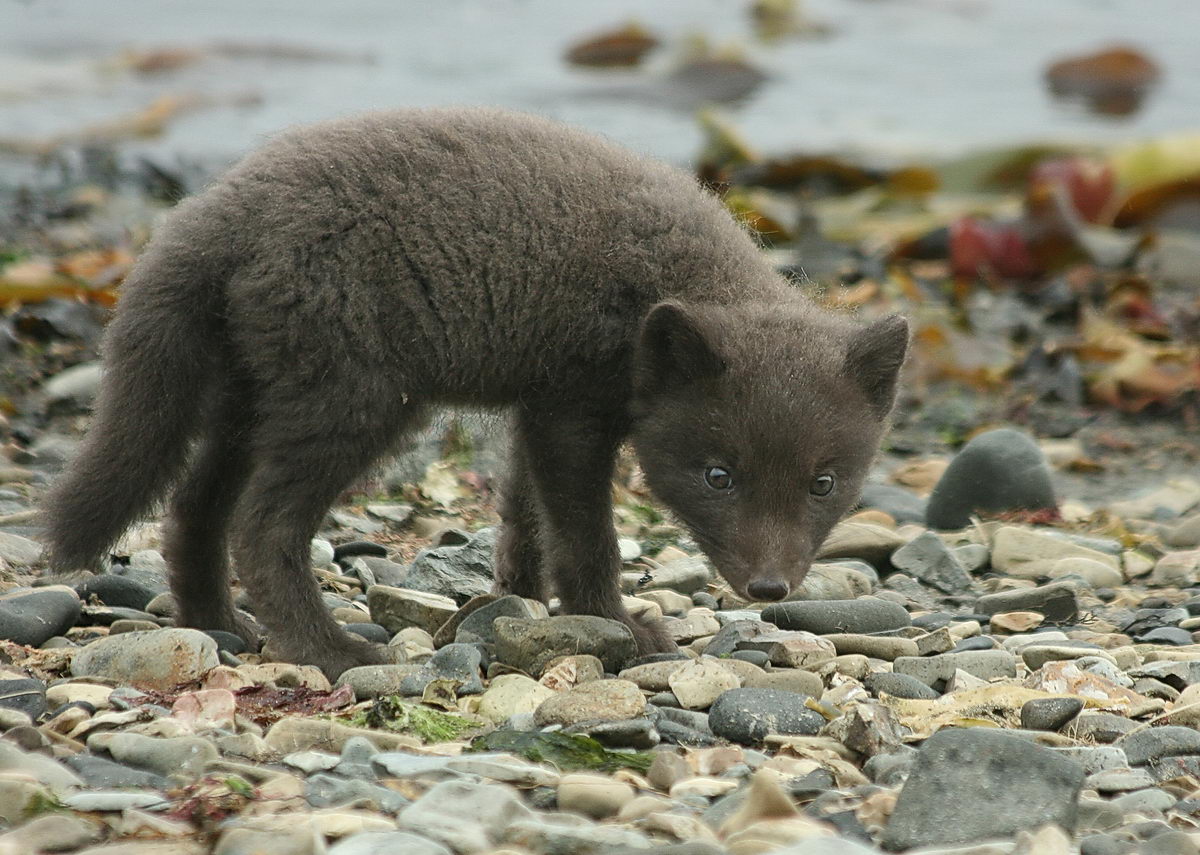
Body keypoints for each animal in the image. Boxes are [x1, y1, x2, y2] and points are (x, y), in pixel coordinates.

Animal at [39, 106, 907, 677]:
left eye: (824, 483)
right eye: (718, 476)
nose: (770, 587)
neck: (666, 282)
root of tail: (216, 210)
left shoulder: (537, 405)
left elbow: (523, 518)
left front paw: (510, 606)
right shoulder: (571, 408)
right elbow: (586, 535)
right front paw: (617, 629)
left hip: (253, 386)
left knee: (194, 504)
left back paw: (218, 626)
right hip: (350, 395)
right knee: (261, 525)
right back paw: (329, 650)